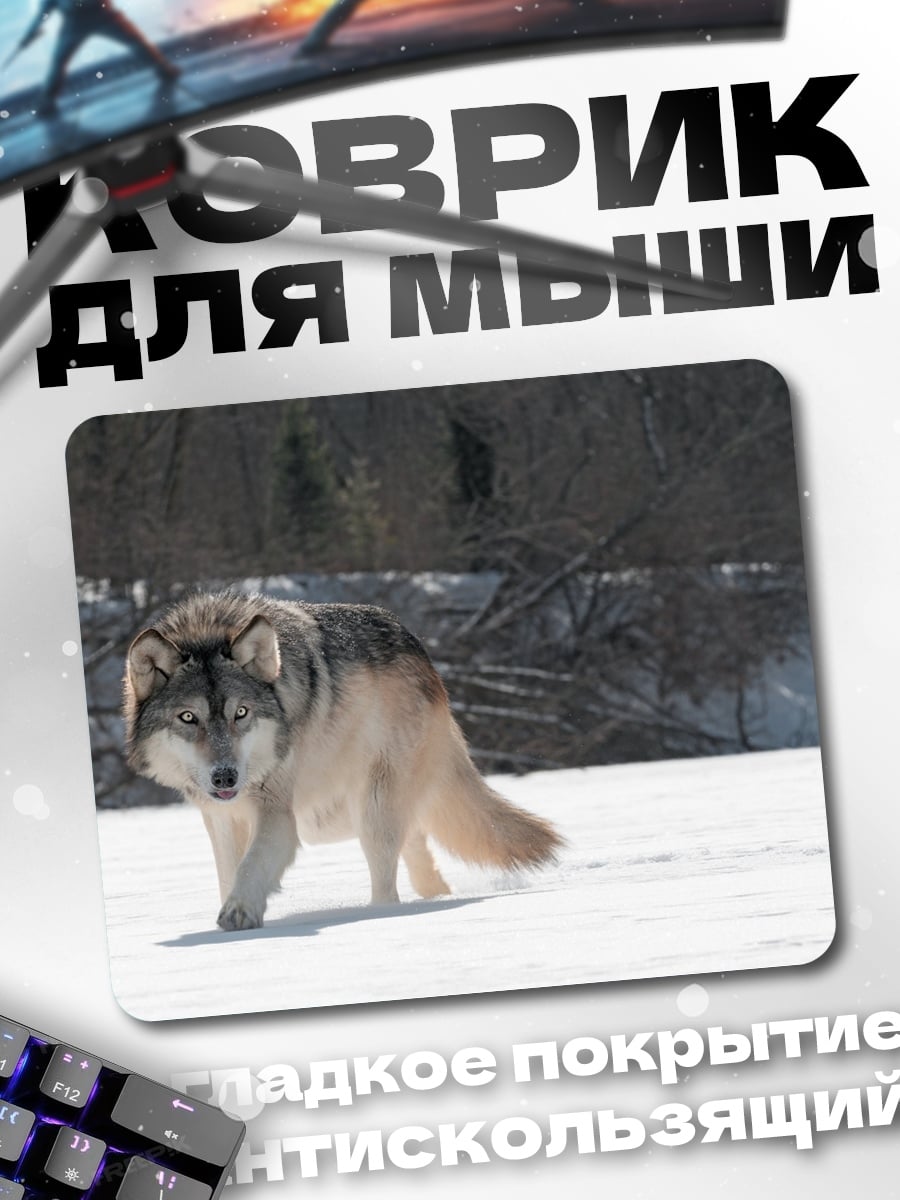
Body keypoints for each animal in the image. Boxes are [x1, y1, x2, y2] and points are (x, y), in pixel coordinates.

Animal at [122, 592, 562, 931]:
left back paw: (381, 916)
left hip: (368, 812)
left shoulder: (277, 814)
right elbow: (230, 870)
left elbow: (251, 867)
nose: (225, 776)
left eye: (241, 713)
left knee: (389, 882)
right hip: (336, 816)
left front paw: (239, 913)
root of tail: (428, 665)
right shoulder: (220, 818)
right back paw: (433, 898)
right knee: (418, 846)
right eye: (188, 718)